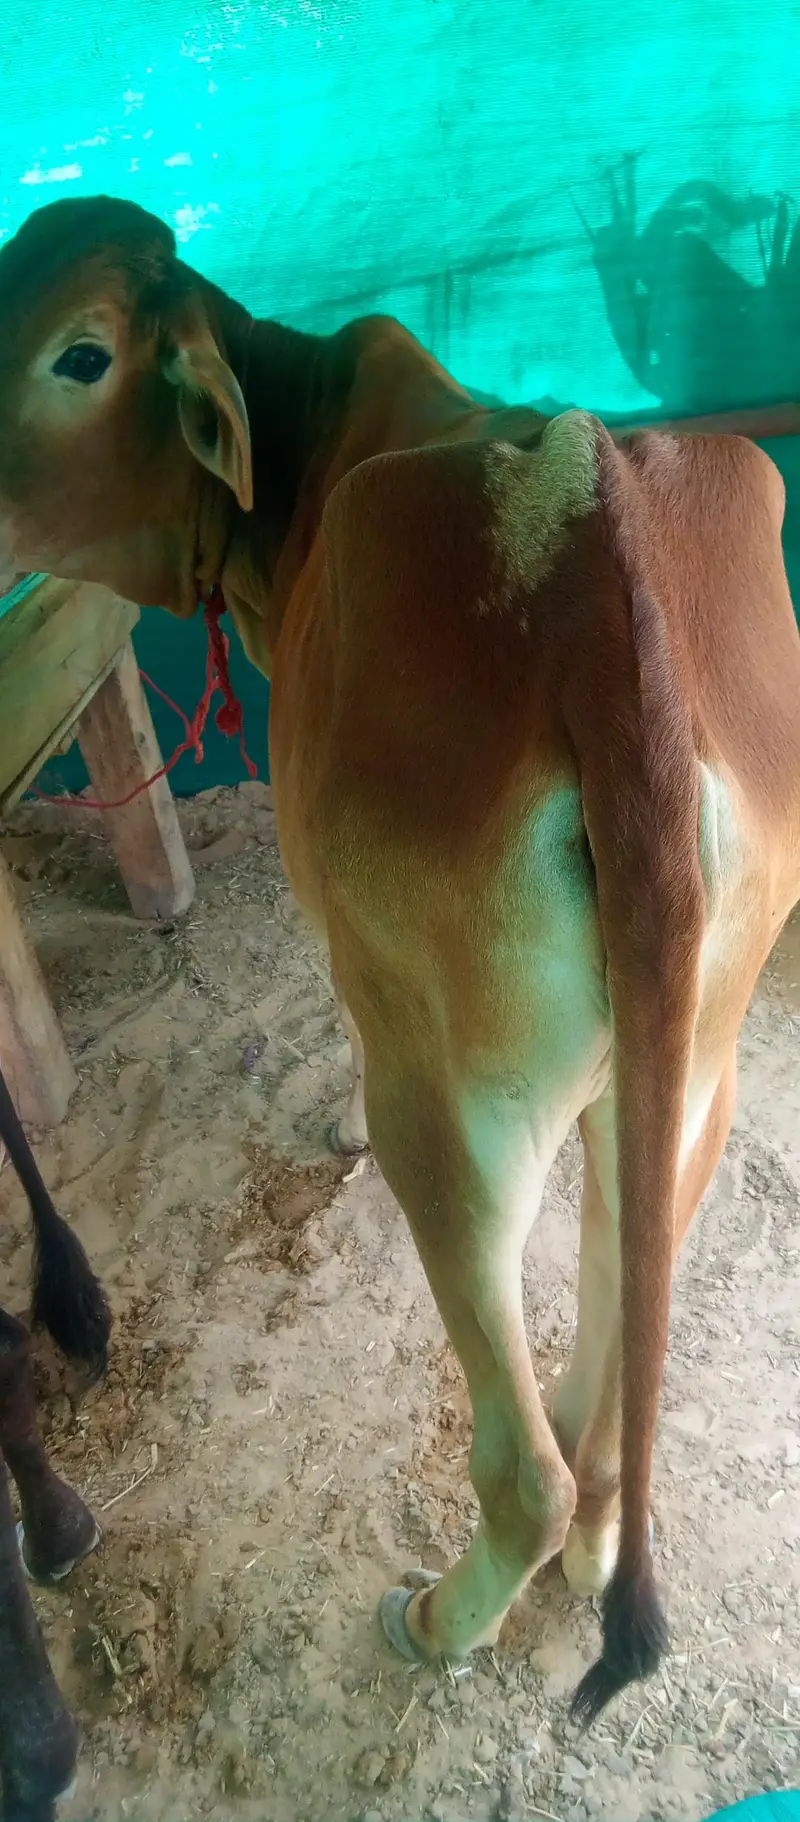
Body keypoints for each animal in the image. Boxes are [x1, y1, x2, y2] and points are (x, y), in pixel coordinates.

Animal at [0, 195, 798, 1725]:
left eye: (80, 352)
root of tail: (595, 552)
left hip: (462, 1110)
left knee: (525, 1463)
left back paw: (437, 1616)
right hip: (692, 1070)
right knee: (615, 1362)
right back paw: (592, 1520)